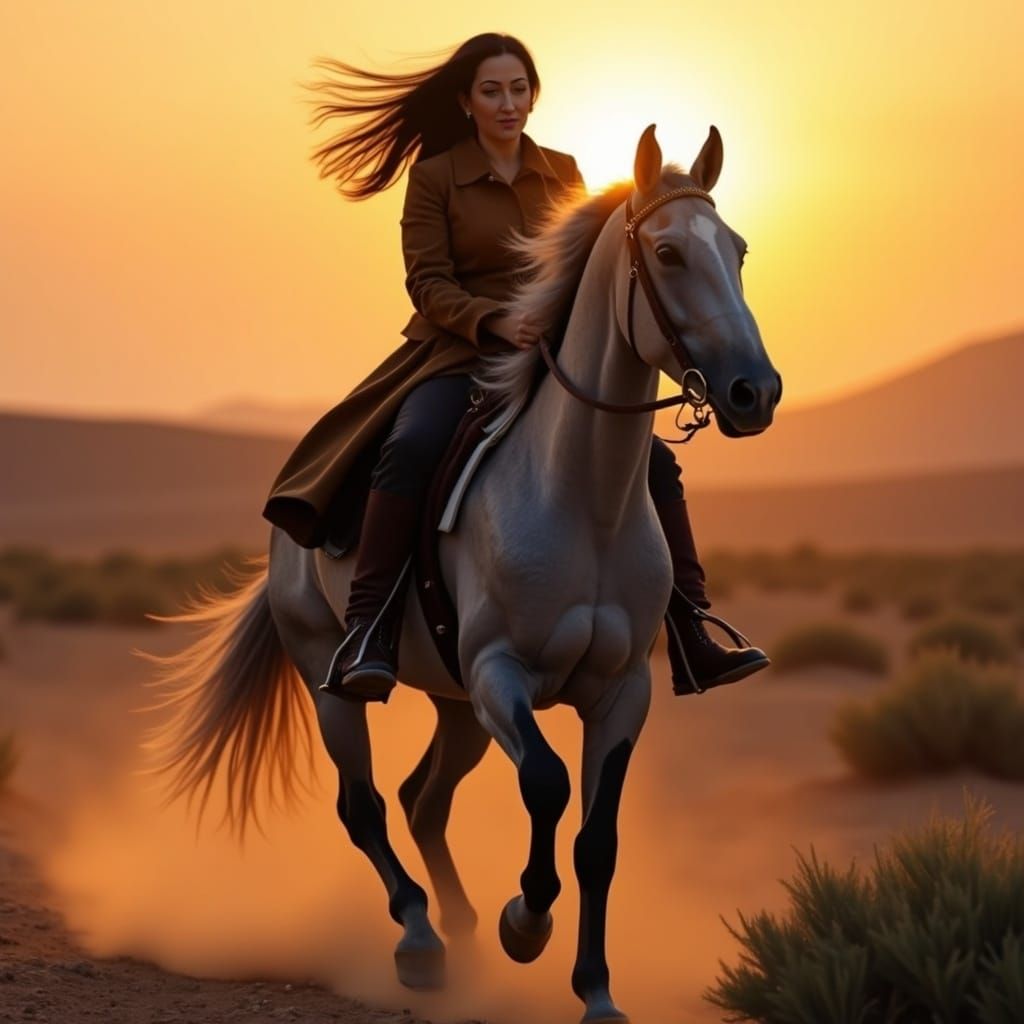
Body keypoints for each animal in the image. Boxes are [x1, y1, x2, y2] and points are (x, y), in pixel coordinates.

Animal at [146, 124, 781, 1024]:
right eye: (667, 252)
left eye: (738, 249)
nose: (754, 391)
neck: (580, 495)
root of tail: (285, 532)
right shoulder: (498, 674)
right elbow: (547, 784)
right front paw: (525, 922)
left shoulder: (621, 691)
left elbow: (598, 839)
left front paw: (596, 991)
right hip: (335, 678)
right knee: (366, 805)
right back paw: (422, 940)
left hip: (457, 709)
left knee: (424, 800)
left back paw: (462, 927)